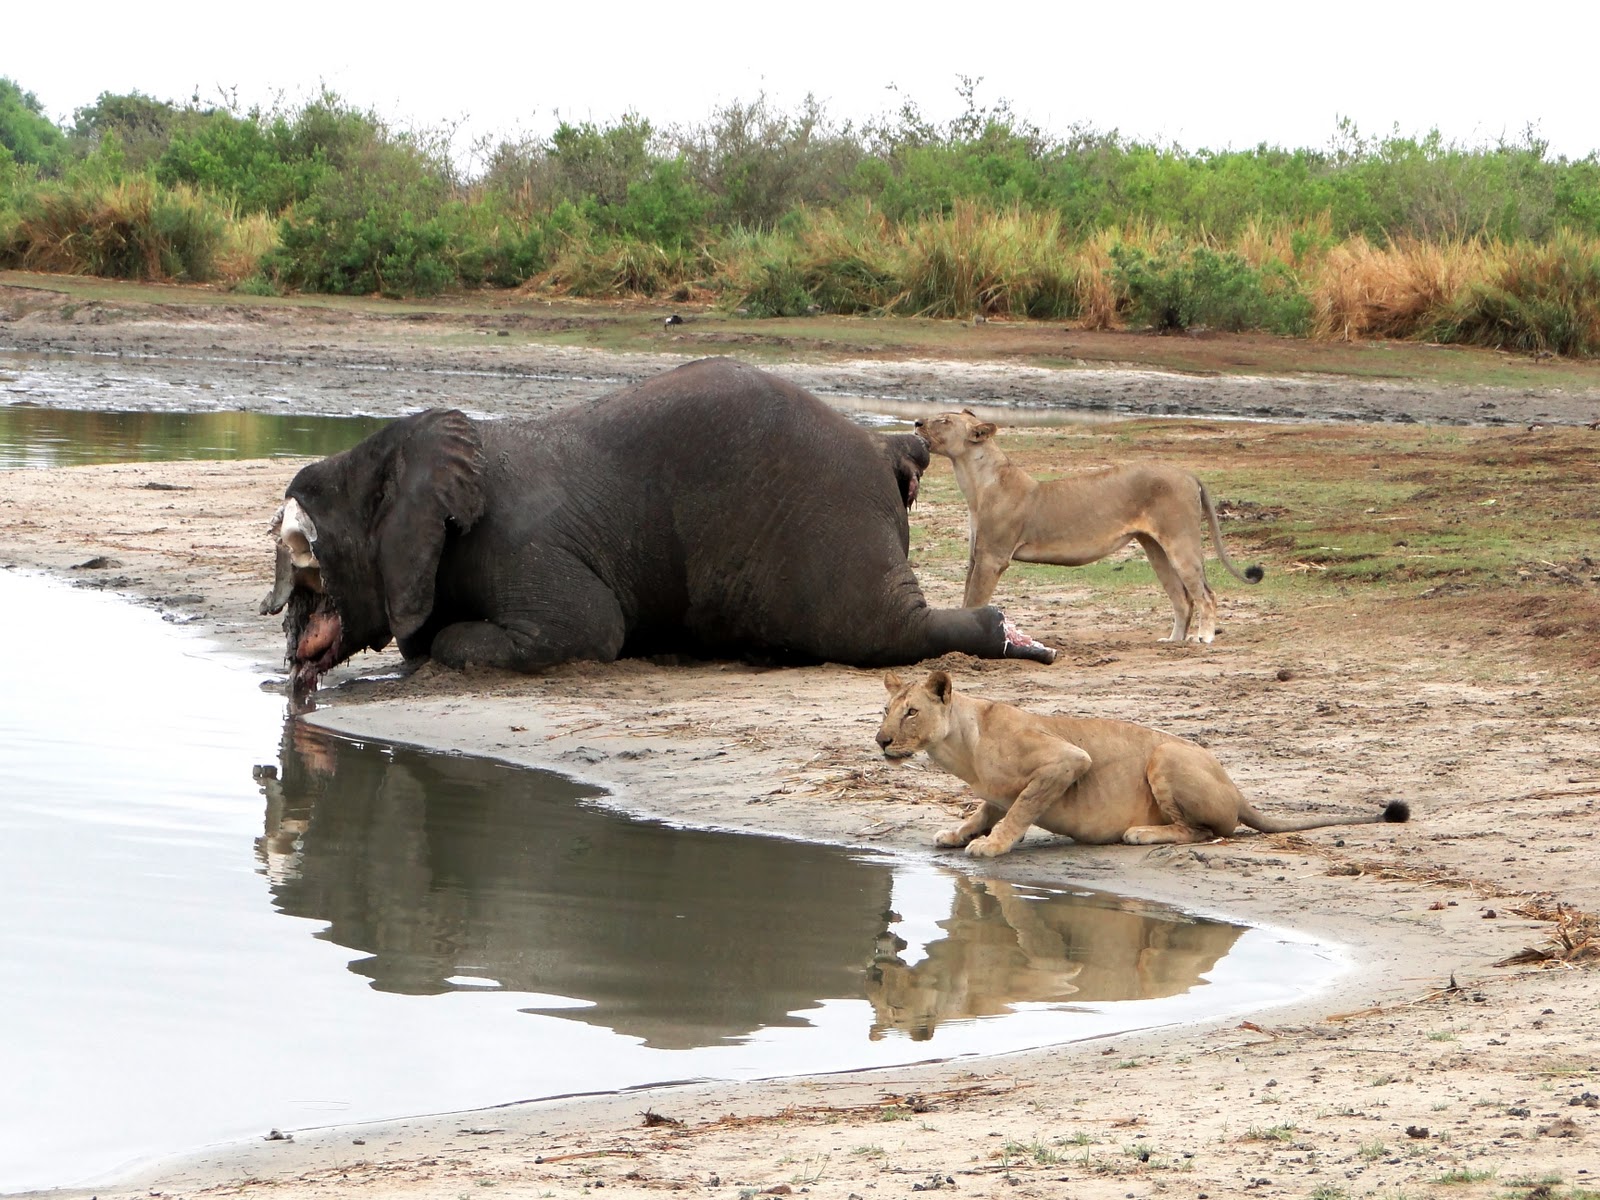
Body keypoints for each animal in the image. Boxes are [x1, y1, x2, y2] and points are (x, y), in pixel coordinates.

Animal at [261, 357, 1055, 692]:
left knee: (876, 632)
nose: (289, 666)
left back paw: (1018, 643)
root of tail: (884, 447)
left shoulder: (523, 548)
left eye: (317, 539)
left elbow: (585, 630)